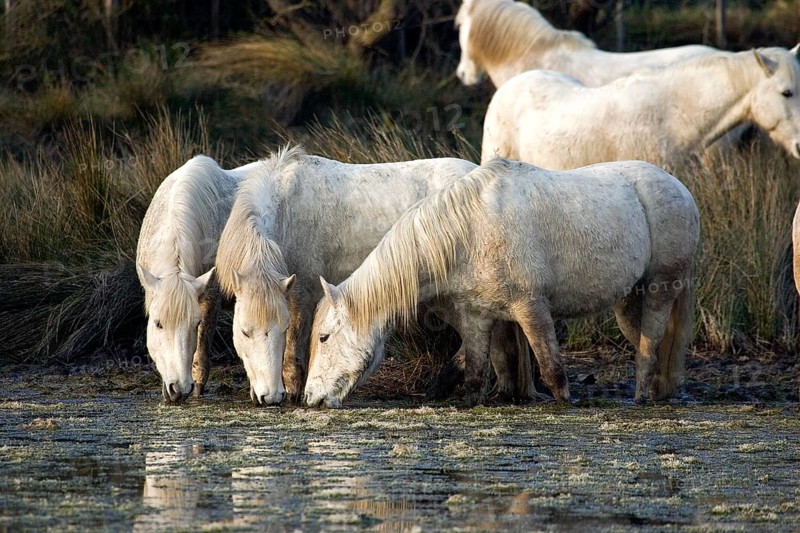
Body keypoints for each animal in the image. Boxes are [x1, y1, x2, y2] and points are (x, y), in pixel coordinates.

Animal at [214, 146, 479, 406]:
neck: (286, 211)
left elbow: (294, 350)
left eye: (283, 328)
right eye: (245, 332)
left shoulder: (301, 296)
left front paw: (294, 391)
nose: (269, 397)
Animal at [304, 158, 700, 408]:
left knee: (651, 342)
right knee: (645, 341)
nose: (311, 399)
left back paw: (642, 396)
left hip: (661, 287)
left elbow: (552, 369)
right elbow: (476, 374)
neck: (469, 231)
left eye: (324, 337)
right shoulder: (477, 317)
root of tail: (680, 188)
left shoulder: (531, 307)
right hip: (628, 299)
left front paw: (564, 402)